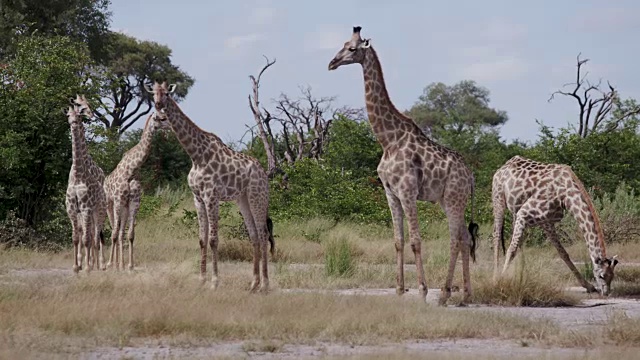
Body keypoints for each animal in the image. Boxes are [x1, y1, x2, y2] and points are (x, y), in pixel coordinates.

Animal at [102, 112, 169, 270]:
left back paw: (120, 263)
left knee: (121, 232)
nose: (171, 127)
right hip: (109, 204)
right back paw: (111, 263)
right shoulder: (118, 200)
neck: (131, 170)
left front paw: (130, 265)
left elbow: (130, 234)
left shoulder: (134, 202)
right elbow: (114, 233)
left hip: (125, 207)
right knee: (113, 230)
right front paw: (111, 263)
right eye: (162, 118)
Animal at [145, 81, 276, 292]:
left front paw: (214, 282)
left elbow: (214, 240)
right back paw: (253, 284)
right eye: (153, 93)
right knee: (254, 236)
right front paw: (201, 280)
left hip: (258, 196)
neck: (196, 156)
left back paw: (265, 284)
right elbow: (201, 239)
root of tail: (264, 173)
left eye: (166, 93)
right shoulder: (197, 198)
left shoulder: (211, 196)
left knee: (264, 234)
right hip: (243, 200)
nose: (158, 106)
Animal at [328, 26, 478, 306]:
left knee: (454, 240)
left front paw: (422, 290)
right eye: (342, 44)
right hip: (449, 200)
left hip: (454, 198)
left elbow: (416, 241)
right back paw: (465, 294)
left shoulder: (408, 192)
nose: (331, 63)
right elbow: (398, 240)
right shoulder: (390, 193)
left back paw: (444, 294)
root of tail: (471, 176)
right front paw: (399, 289)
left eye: (352, 49)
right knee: (464, 238)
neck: (388, 140)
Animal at [492, 155, 616, 296]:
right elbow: (511, 250)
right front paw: (500, 282)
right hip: (498, 200)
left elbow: (563, 253)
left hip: (514, 210)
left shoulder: (546, 221)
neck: (565, 195)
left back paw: (521, 275)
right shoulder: (525, 213)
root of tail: (502, 167)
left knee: (518, 242)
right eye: (601, 275)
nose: (606, 293)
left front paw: (589, 286)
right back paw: (496, 276)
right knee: (496, 236)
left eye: (612, 276)